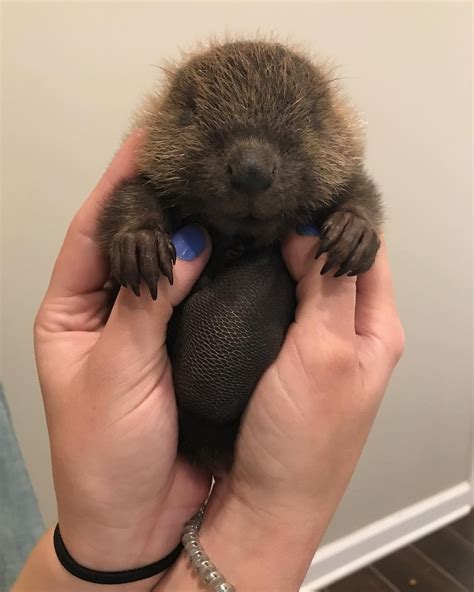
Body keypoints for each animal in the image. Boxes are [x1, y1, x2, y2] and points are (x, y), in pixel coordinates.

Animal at [98, 39, 384, 472]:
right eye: (191, 110)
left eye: (311, 115)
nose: (252, 170)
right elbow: (131, 192)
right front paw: (139, 245)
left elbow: (360, 187)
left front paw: (354, 233)